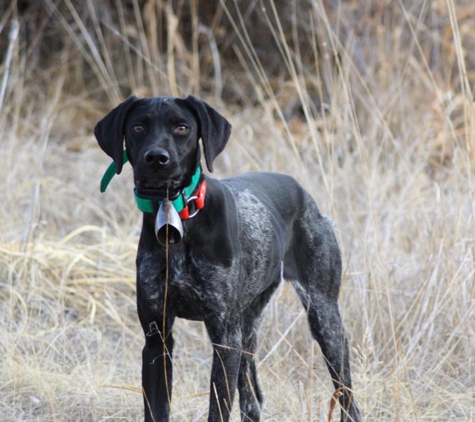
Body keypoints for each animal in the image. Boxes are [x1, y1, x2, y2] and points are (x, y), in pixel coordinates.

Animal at [94, 96, 360, 422]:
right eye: (138, 127)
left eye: (182, 128)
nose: (156, 158)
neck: (178, 215)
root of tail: (303, 193)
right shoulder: (157, 340)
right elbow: (157, 410)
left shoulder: (224, 339)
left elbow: (217, 410)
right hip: (247, 329)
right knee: (251, 400)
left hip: (323, 317)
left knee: (347, 396)